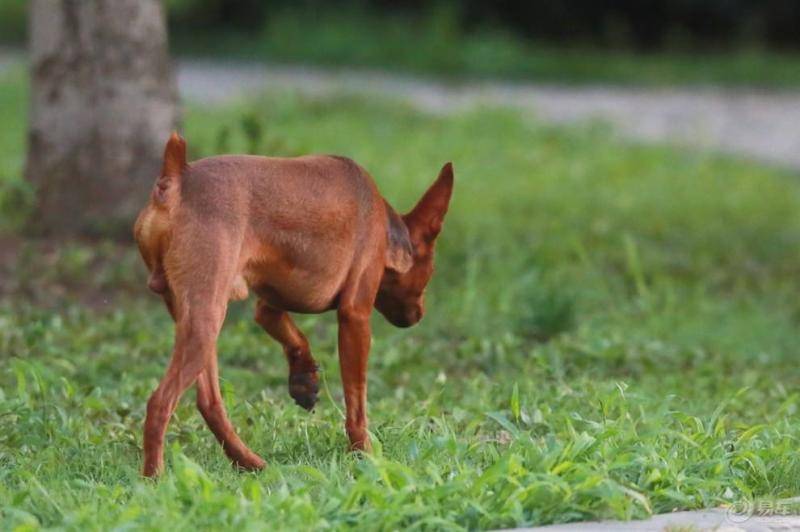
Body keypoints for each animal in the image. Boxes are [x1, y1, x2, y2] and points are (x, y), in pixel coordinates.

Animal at [134, 133, 454, 478]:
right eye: (430, 273)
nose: (419, 315)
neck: (386, 225)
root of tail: (175, 179)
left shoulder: (268, 305)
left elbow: (291, 334)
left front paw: (304, 379)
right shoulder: (355, 315)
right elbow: (356, 402)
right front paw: (365, 456)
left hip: (194, 317)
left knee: (208, 401)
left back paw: (247, 461)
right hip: (205, 320)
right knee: (160, 402)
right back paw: (154, 477)